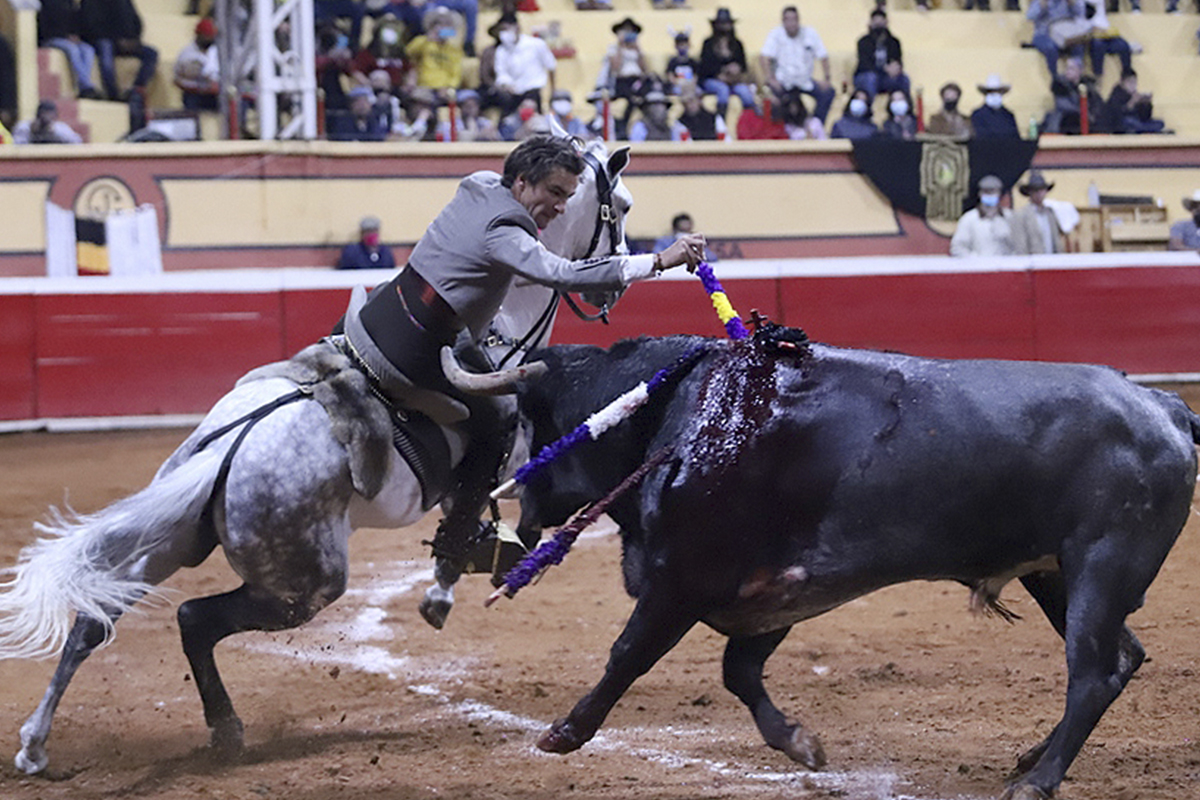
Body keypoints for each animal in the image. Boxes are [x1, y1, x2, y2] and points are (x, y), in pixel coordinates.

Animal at [0, 133, 638, 777]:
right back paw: (225, 730)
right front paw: (448, 587)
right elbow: (478, 519)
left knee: (94, 622)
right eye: (623, 207)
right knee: (193, 619)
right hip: (308, 583)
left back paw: (36, 744)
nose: (611, 288)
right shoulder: (509, 451)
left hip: (165, 540)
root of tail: (231, 446)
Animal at [508, 331, 1200, 800]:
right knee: (1122, 658)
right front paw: (800, 743)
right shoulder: (774, 592)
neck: (682, 412)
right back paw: (1034, 756)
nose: (512, 503)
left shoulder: (682, 580)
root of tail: (1163, 405)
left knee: (1092, 675)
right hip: (1054, 573)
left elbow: (628, 654)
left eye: (522, 423)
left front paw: (565, 730)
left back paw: (1040, 778)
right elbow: (739, 672)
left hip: (1101, 567)